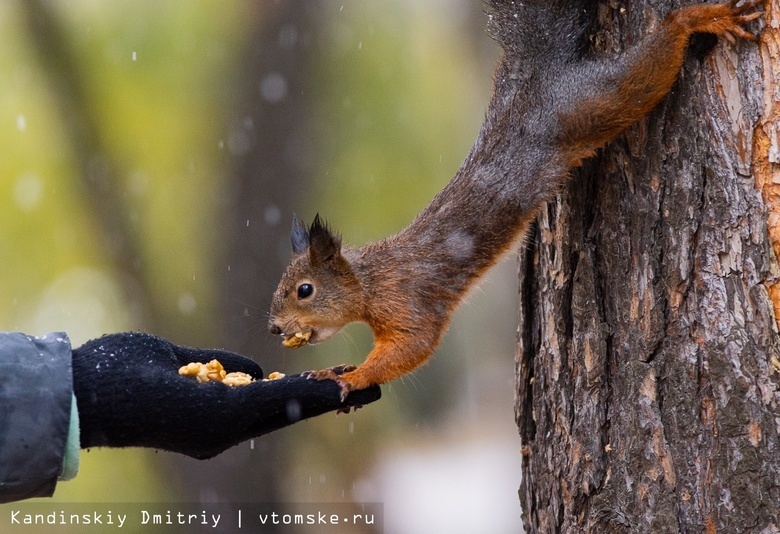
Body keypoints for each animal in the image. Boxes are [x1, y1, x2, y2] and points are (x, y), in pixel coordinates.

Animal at [266, 0, 760, 402]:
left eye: (305, 290)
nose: (273, 327)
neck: (370, 282)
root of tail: (534, 75)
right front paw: (329, 370)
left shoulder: (409, 303)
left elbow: (412, 348)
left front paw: (352, 378)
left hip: (592, 104)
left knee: (647, 67)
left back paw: (697, 18)